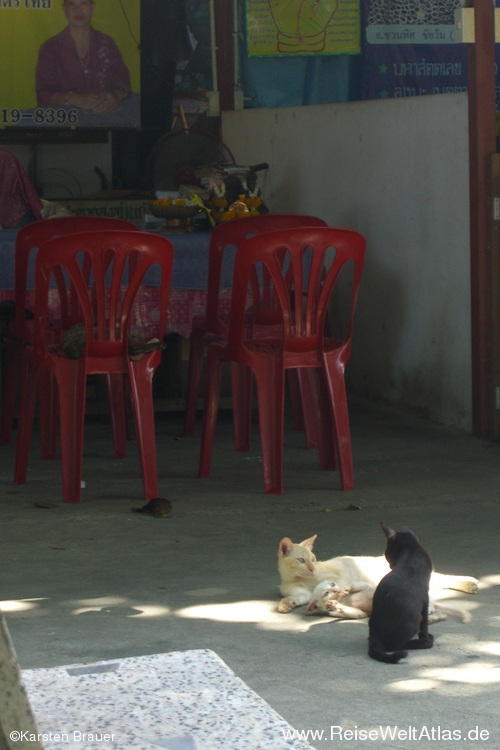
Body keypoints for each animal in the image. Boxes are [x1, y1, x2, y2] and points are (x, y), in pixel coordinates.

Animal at [368, 524, 434, 664]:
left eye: (386, 554)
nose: (390, 565)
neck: (411, 548)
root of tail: (374, 637)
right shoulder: (425, 596)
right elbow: (424, 624)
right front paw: (425, 636)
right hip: (414, 618)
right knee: (396, 645)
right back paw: (424, 641)